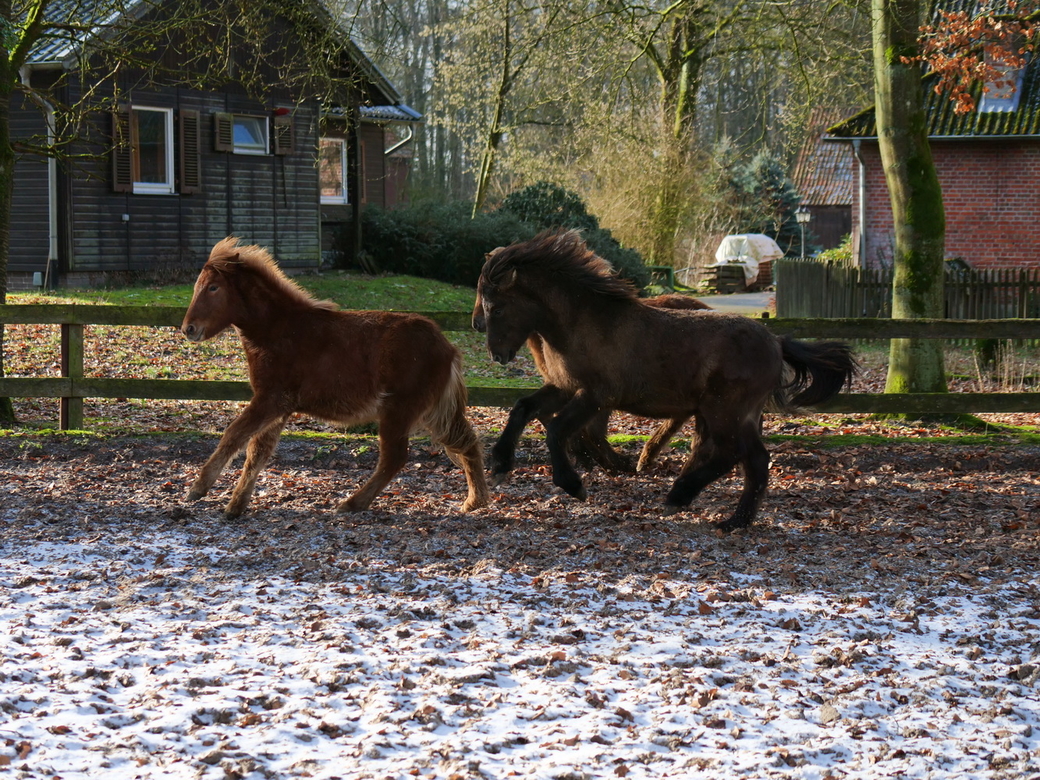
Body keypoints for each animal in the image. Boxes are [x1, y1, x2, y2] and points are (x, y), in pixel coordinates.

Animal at [180, 238, 488, 520]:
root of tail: (448, 347)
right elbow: (257, 451)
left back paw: (352, 504)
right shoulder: (279, 407)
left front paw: (198, 489)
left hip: (400, 411)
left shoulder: (269, 400)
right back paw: (475, 502)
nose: (188, 329)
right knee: (467, 442)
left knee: (395, 458)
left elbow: (233, 436)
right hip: (432, 412)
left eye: (213, 287)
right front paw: (236, 505)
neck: (279, 330)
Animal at [472, 272, 707, 480]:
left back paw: (644, 457)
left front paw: (604, 462)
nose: (477, 324)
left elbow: (588, 428)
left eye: (496, 308)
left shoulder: (599, 389)